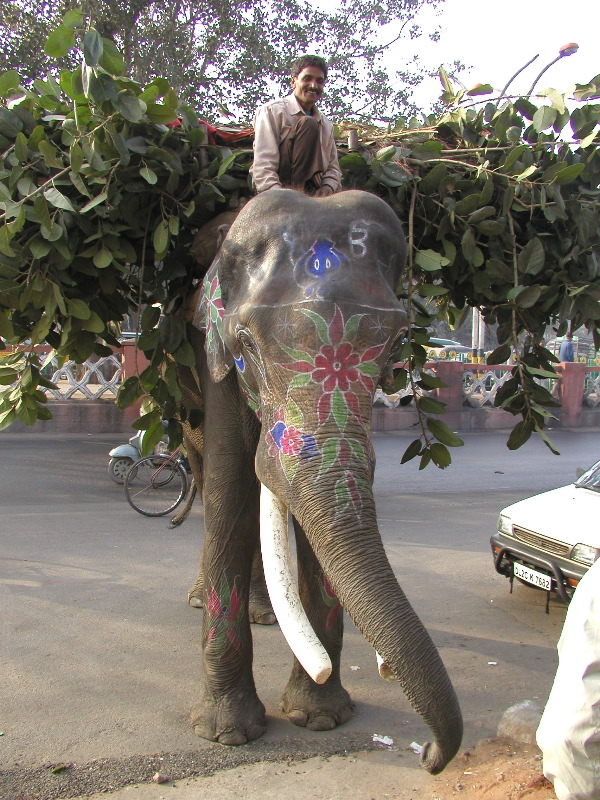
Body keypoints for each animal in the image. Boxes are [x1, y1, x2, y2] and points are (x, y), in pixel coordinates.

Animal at [176, 187, 463, 774]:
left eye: (396, 346)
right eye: (246, 345)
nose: (428, 755)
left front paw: (322, 718)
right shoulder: (214, 359)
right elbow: (230, 489)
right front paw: (227, 735)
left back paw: (265, 612)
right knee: (203, 472)